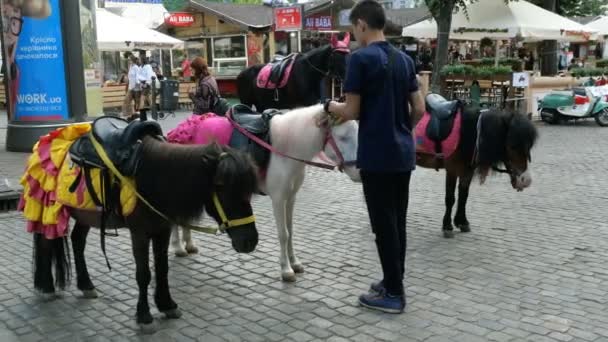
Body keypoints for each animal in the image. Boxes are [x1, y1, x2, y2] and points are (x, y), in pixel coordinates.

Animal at [32, 138, 258, 332]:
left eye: (248, 188)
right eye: (220, 185)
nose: (250, 241)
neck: (152, 179)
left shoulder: (162, 231)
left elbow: (162, 269)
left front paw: (167, 305)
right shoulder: (139, 234)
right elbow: (143, 274)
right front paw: (144, 316)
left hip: (84, 214)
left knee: (77, 241)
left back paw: (86, 285)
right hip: (50, 213)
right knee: (45, 244)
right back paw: (47, 288)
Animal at [416, 105, 540, 238]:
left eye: (529, 146)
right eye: (512, 146)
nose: (526, 180)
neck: (467, 134)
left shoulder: (467, 171)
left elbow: (463, 196)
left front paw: (462, 222)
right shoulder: (452, 170)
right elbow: (450, 199)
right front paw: (447, 226)